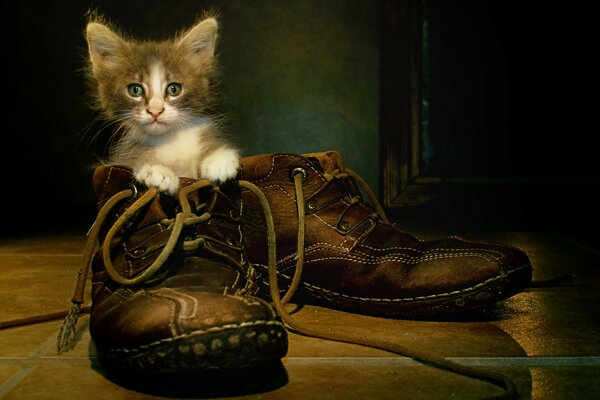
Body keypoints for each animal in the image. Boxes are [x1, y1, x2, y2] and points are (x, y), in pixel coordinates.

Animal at [85, 16, 239, 195]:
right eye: (135, 90)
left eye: (174, 89)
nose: (155, 111)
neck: (169, 139)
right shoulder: (122, 156)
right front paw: (157, 170)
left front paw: (218, 159)